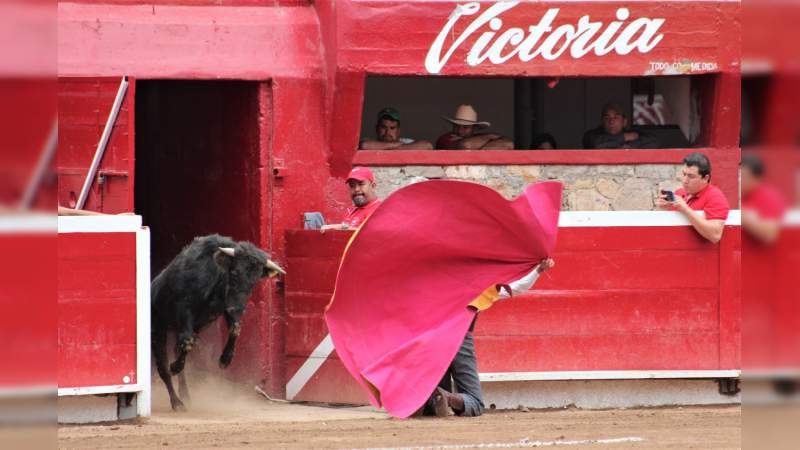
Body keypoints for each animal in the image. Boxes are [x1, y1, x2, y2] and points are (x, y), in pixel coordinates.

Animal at [152, 236, 286, 412]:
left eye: (254, 281)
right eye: (234, 273)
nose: (238, 309)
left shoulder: (226, 307)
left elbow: (235, 328)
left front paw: (225, 360)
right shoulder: (184, 308)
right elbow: (187, 341)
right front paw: (174, 367)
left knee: (177, 349)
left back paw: (185, 395)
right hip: (158, 329)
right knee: (163, 368)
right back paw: (177, 402)